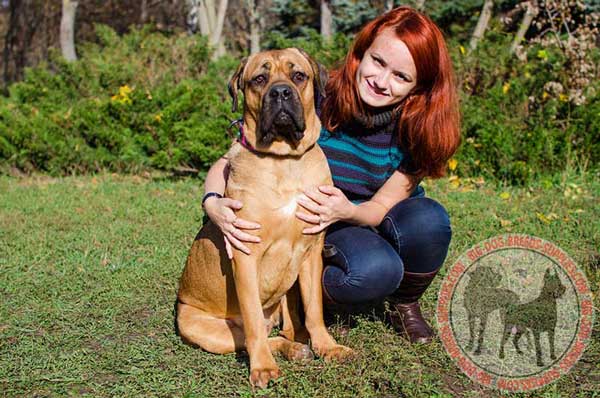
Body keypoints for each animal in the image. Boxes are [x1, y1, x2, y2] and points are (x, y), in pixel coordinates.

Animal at [175, 47, 352, 388]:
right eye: (259, 79)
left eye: (298, 75)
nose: (281, 92)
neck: (284, 160)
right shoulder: (246, 254)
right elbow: (254, 322)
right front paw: (263, 368)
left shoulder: (311, 252)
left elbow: (314, 310)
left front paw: (327, 346)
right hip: (203, 328)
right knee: (250, 336)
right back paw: (286, 351)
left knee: (287, 325)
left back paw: (298, 345)